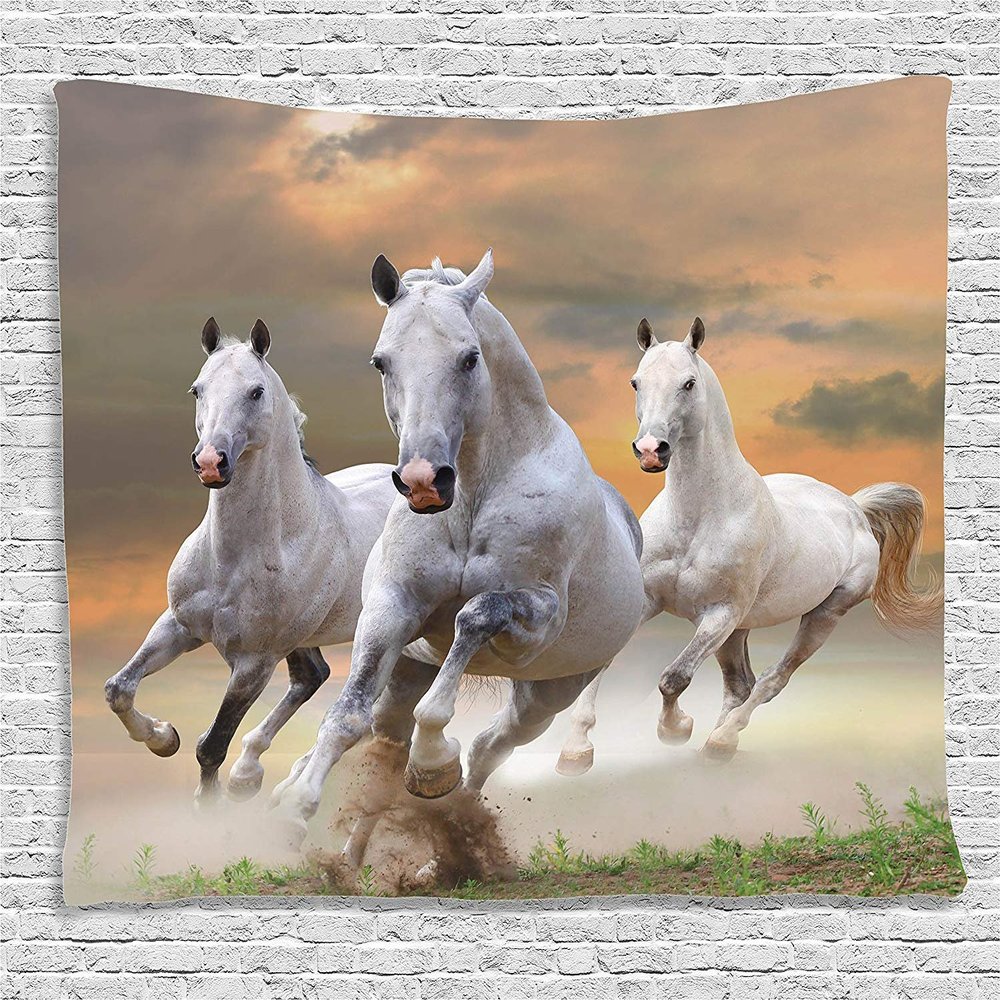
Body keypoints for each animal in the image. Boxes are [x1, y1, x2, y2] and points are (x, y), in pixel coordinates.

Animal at [103, 318, 397, 802]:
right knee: (312, 676)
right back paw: (249, 774)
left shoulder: (254, 663)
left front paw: (209, 806)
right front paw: (163, 738)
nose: (210, 462)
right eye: (197, 389)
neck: (233, 560)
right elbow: (118, 689)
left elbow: (211, 745)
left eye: (256, 392)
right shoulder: (179, 626)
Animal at [270, 250, 646, 856]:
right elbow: (346, 717)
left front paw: (431, 764)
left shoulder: (536, 616)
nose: (425, 482)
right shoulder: (392, 607)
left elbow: (474, 616)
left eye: (470, 358)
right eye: (381, 362)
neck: (473, 495)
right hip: (406, 672)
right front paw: (294, 813)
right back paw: (346, 854)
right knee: (384, 743)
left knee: (489, 747)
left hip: (547, 694)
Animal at [557, 315, 943, 770]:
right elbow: (602, 663)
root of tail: (854, 508)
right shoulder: (653, 602)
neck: (697, 519)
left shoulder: (719, 613)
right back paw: (718, 742)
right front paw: (576, 749)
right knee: (741, 683)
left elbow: (674, 678)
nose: (651, 451)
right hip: (739, 629)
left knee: (772, 680)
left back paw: (721, 740)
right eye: (636, 382)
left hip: (821, 615)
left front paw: (676, 729)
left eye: (689, 383)